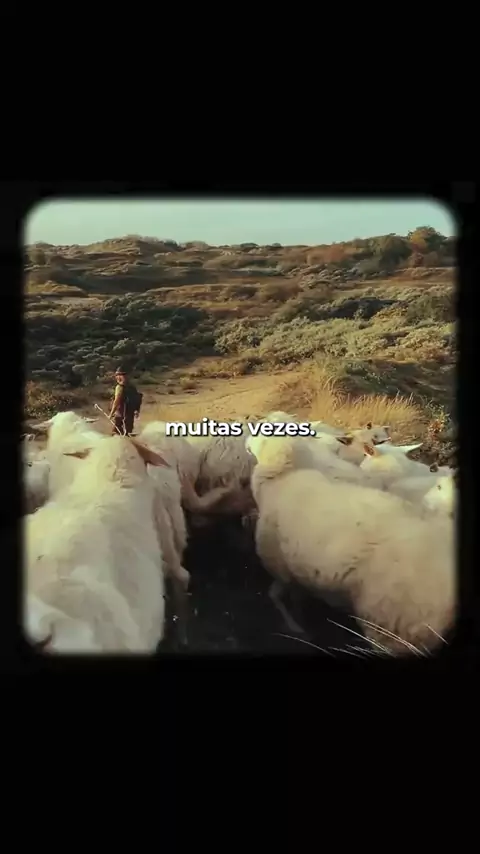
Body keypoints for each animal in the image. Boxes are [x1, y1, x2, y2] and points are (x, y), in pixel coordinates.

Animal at [247, 435, 455, 654]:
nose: (247, 441)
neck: (282, 479)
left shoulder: (279, 563)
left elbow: (279, 596)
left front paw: (294, 625)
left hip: (390, 623)